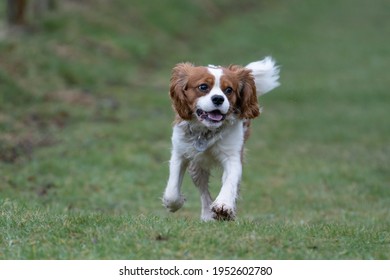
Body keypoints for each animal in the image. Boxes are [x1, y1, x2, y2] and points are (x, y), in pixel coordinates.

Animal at [162, 57, 280, 221]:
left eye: (229, 90)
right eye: (203, 87)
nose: (218, 98)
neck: (206, 131)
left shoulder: (233, 157)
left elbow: (230, 182)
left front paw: (224, 206)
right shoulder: (180, 153)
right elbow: (172, 191)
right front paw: (175, 203)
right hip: (197, 167)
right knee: (203, 191)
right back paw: (207, 216)